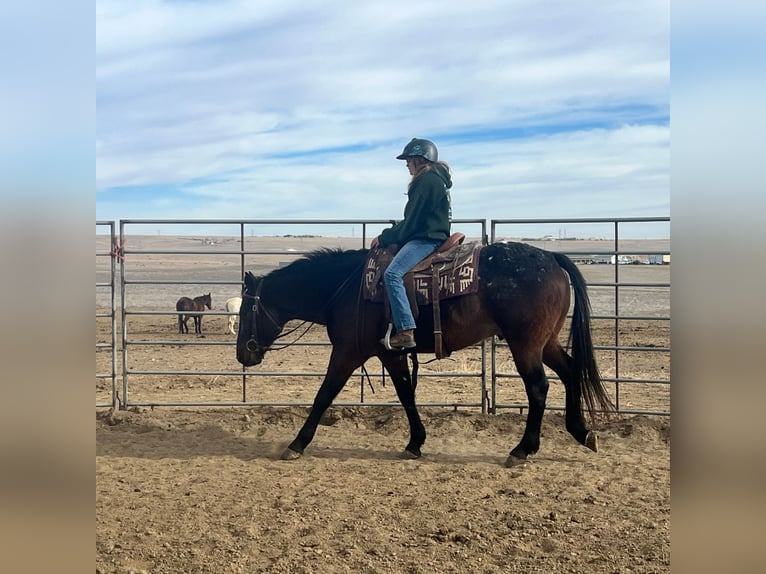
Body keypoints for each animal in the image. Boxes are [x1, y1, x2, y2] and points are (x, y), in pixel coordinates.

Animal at [237, 243, 616, 468]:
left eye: (244, 311)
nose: (243, 355)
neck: (346, 288)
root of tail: (552, 257)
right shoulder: (389, 353)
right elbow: (406, 393)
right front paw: (415, 442)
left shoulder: (347, 352)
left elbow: (323, 394)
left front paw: (296, 443)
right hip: (545, 342)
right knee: (570, 371)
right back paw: (582, 432)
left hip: (526, 345)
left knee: (538, 388)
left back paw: (522, 449)